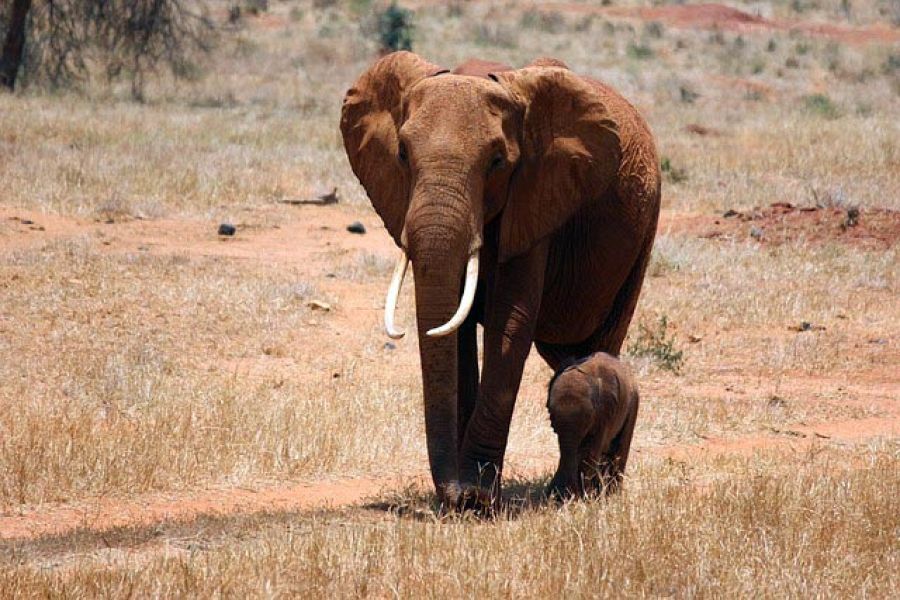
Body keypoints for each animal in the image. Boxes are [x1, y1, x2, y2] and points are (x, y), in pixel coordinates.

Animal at [546, 352, 639, 499]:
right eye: (551, 412)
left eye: (588, 417)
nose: (554, 494)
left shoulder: (604, 413)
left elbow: (590, 451)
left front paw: (587, 498)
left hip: (634, 403)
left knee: (620, 449)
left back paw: (613, 494)